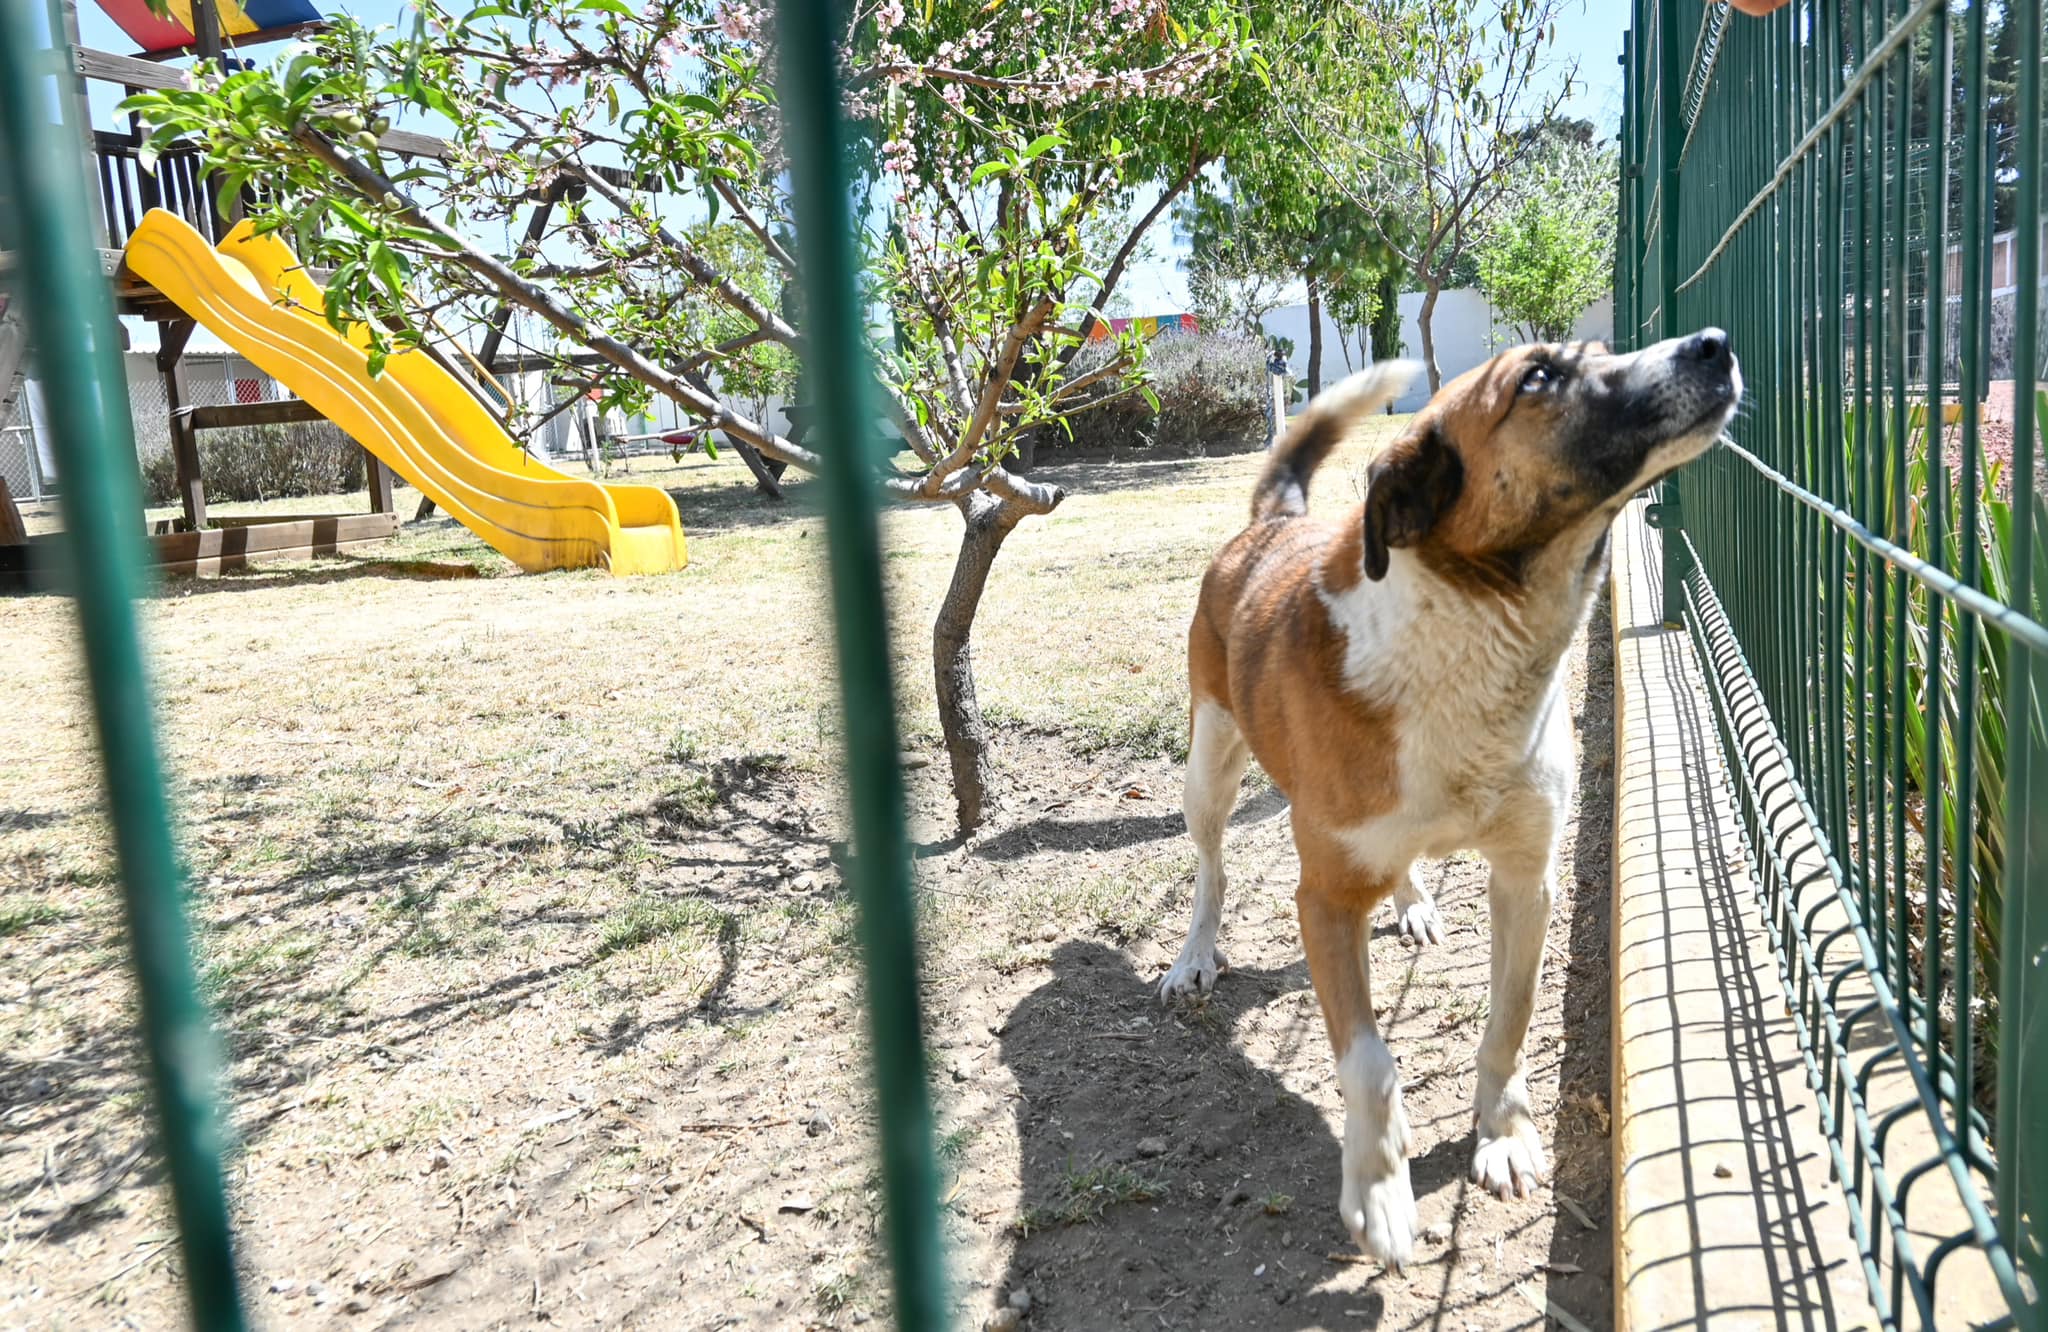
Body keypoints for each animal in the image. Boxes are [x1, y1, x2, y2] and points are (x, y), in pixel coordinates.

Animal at [1163, 331, 1736, 1262]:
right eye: (1537, 378)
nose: (1715, 346)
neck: (1468, 635)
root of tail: (1271, 525)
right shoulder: (1323, 899)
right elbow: (1368, 1062)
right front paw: (1380, 1191)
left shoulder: (1527, 879)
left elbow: (1509, 1023)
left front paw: (1502, 1134)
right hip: (1208, 763)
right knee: (1211, 869)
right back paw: (1194, 956)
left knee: (1398, 867)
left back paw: (1414, 903)